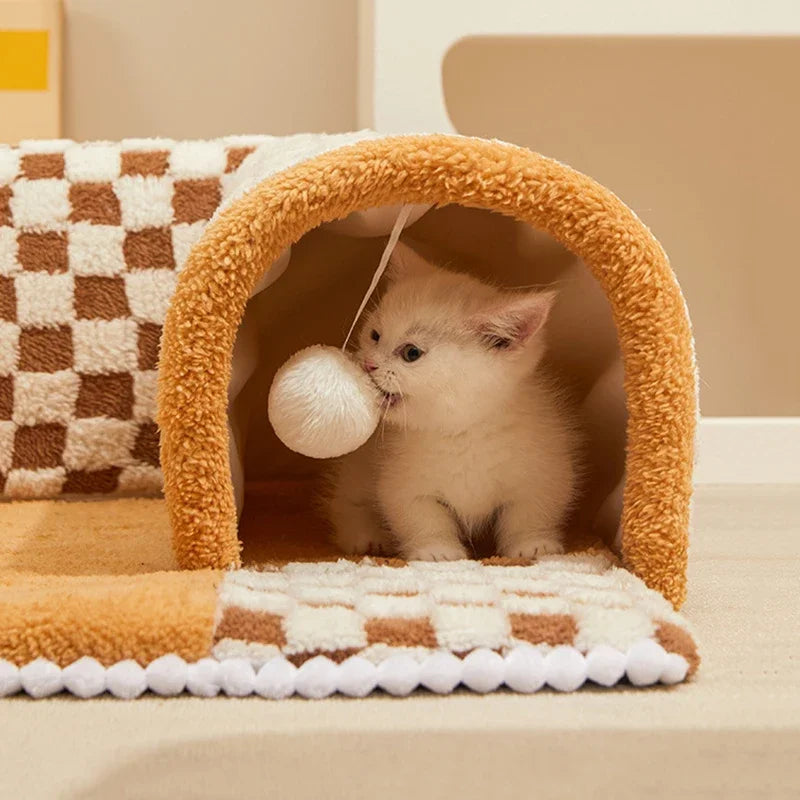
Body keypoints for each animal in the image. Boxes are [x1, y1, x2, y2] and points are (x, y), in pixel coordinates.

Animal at [324, 241, 580, 560]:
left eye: (411, 353)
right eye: (374, 335)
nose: (369, 364)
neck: (460, 430)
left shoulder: (544, 467)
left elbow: (529, 512)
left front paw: (533, 544)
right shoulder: (402, 482)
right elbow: (422, 517)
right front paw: (437, 550)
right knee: (346, 502)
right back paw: (365, 536)